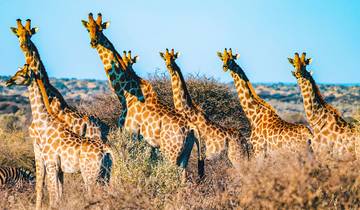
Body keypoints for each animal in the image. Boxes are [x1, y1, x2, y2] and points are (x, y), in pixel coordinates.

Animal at [5, 64, 112, 210]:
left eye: (21, 73)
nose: (8, 81)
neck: (44, 123)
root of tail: (105, 149)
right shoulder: (58, 168)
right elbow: (58, 192)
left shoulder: (51, 164)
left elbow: (52, 193)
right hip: (105, 174)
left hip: (90, 173)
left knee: (93, 195)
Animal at [82, 13, 204, 180]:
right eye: (89, 29)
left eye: (100, 29)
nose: (93, 42)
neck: (125, 94)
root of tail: (192, 127)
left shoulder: (131, 134)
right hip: (185, 153)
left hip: (171, 152)